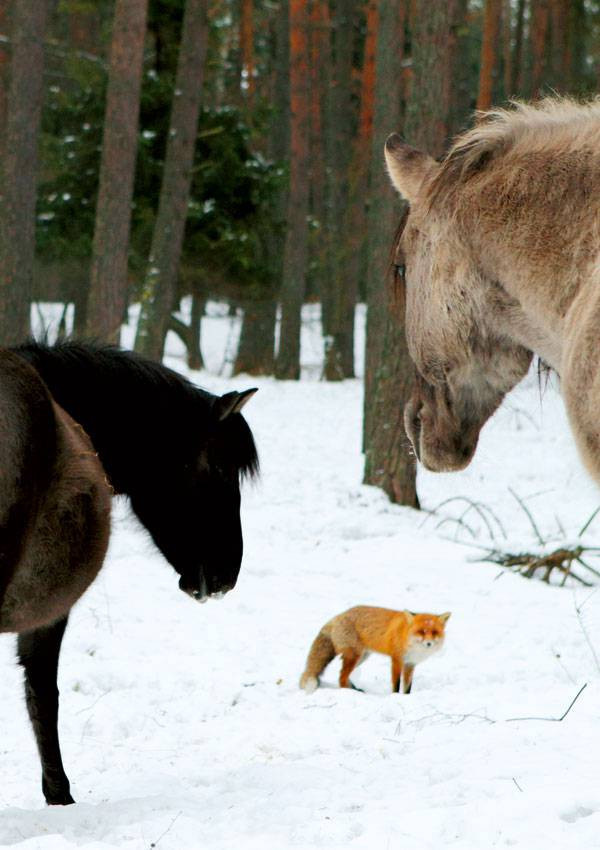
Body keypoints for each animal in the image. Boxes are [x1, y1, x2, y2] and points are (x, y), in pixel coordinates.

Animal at [300, 604, 450, 688]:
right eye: (422, 631)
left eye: (434, 632)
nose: (429, 643)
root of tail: (338, 616)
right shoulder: (397, 660)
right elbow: (396, 684)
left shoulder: (410, 664)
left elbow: (407, 688)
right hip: (354, 656)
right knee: (341, 677)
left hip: (362, 657)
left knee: (344, 676)